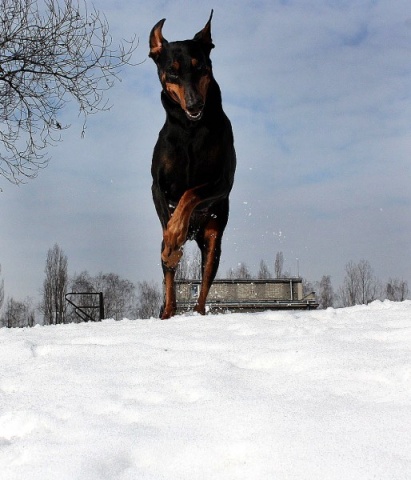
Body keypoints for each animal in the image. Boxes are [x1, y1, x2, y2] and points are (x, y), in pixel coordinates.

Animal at [150, 10, 237, 318]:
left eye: (201, 67)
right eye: (172, 70)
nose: (195, 104)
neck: (189, 129)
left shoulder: (222, 182)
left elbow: (190, 194)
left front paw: (177, 231)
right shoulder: (157, 185)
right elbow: (167, 222)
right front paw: (171, 242)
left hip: (213, 239)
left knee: (204, 283)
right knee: (169, 279)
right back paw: (167, 310)